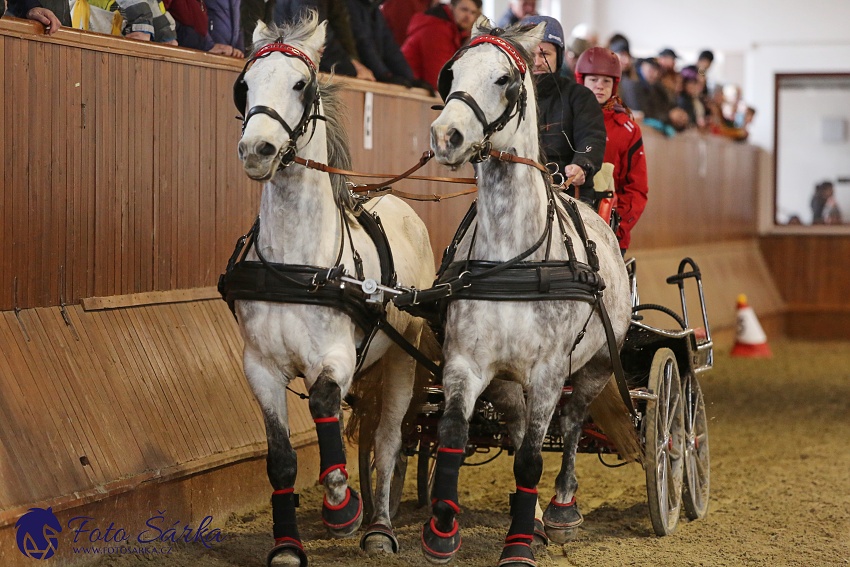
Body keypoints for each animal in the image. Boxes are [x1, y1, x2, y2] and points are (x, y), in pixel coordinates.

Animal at [225, 14, 434, 567]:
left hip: (401, 359)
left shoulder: (337, 357)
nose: (257, 150)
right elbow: (280, 459)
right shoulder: (260, 367)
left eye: (301, 84)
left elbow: (322, 401)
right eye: (244, 86)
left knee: (388, 442)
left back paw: (379, 527)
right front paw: (287, 546)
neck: (295, 266)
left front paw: (342, 505)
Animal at [422, 18, 628, 567]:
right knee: (516, 430)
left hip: (598, 364)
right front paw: (442, 528)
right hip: (507, 381)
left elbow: (535, 456)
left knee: (572, 424)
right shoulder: (467, 362)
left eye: (504, 80)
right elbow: (454, 434)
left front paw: (518, 545)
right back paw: (533, 514)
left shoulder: (550, 370)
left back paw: (560, 508)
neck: (513, 258)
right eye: (451, 75)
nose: (446, 135)